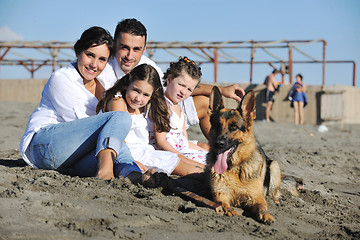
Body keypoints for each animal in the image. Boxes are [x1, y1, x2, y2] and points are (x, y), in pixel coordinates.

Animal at [205, 87, 282, 224]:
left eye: (234, 127)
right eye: (217, 125)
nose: (219, 143)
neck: (235, 167)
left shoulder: (256, 197)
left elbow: (262, 206)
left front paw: (265, 214)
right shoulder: (220, 194)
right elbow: (223, 204)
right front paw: (231, 211)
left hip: (274, 166)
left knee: (273, 194)